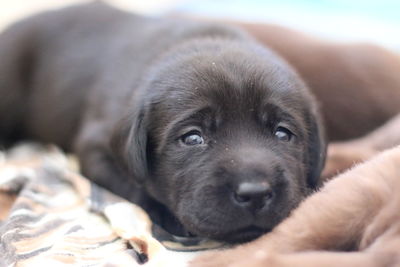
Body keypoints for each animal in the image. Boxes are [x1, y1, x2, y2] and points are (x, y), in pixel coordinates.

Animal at [0, 2, 324, 245]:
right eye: (193, 138)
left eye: (283, 133)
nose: (254, 193)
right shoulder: (95, 148)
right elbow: (134, 187)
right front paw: (166, 215)